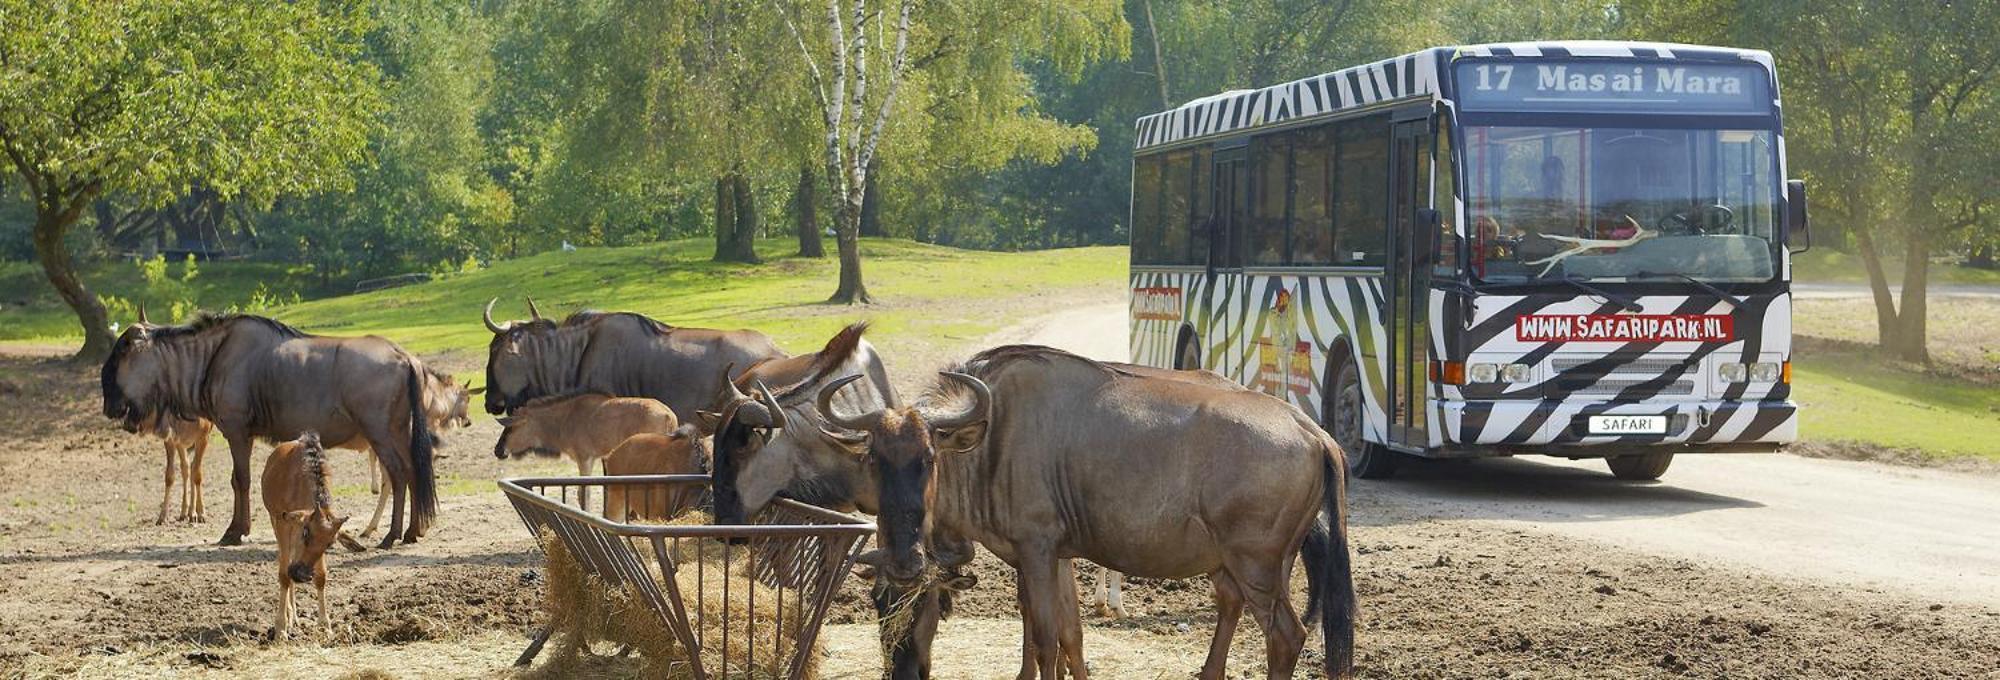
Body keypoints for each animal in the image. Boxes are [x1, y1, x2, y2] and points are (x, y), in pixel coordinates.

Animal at [262, 432, 364, 640]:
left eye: (329, 544)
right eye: (306, 532)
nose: (301, 573)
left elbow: (321, 577)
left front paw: (325, 625)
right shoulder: (284, 524)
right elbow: (284, 575)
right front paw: (280, 628)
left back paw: (294, 617)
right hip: (276, 524)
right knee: (284, 565)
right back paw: (290, 618)